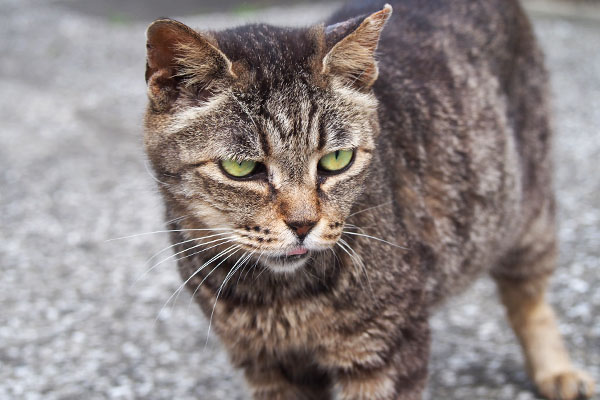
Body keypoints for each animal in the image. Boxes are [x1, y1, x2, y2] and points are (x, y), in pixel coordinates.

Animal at [144, 0, 596, 398]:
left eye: (336, 160)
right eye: (241, 168)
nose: (303, 224)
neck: (277, 299)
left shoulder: (386, 350)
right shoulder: (269, 365)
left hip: (527, 214)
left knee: (529, 298)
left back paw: (557, 371)